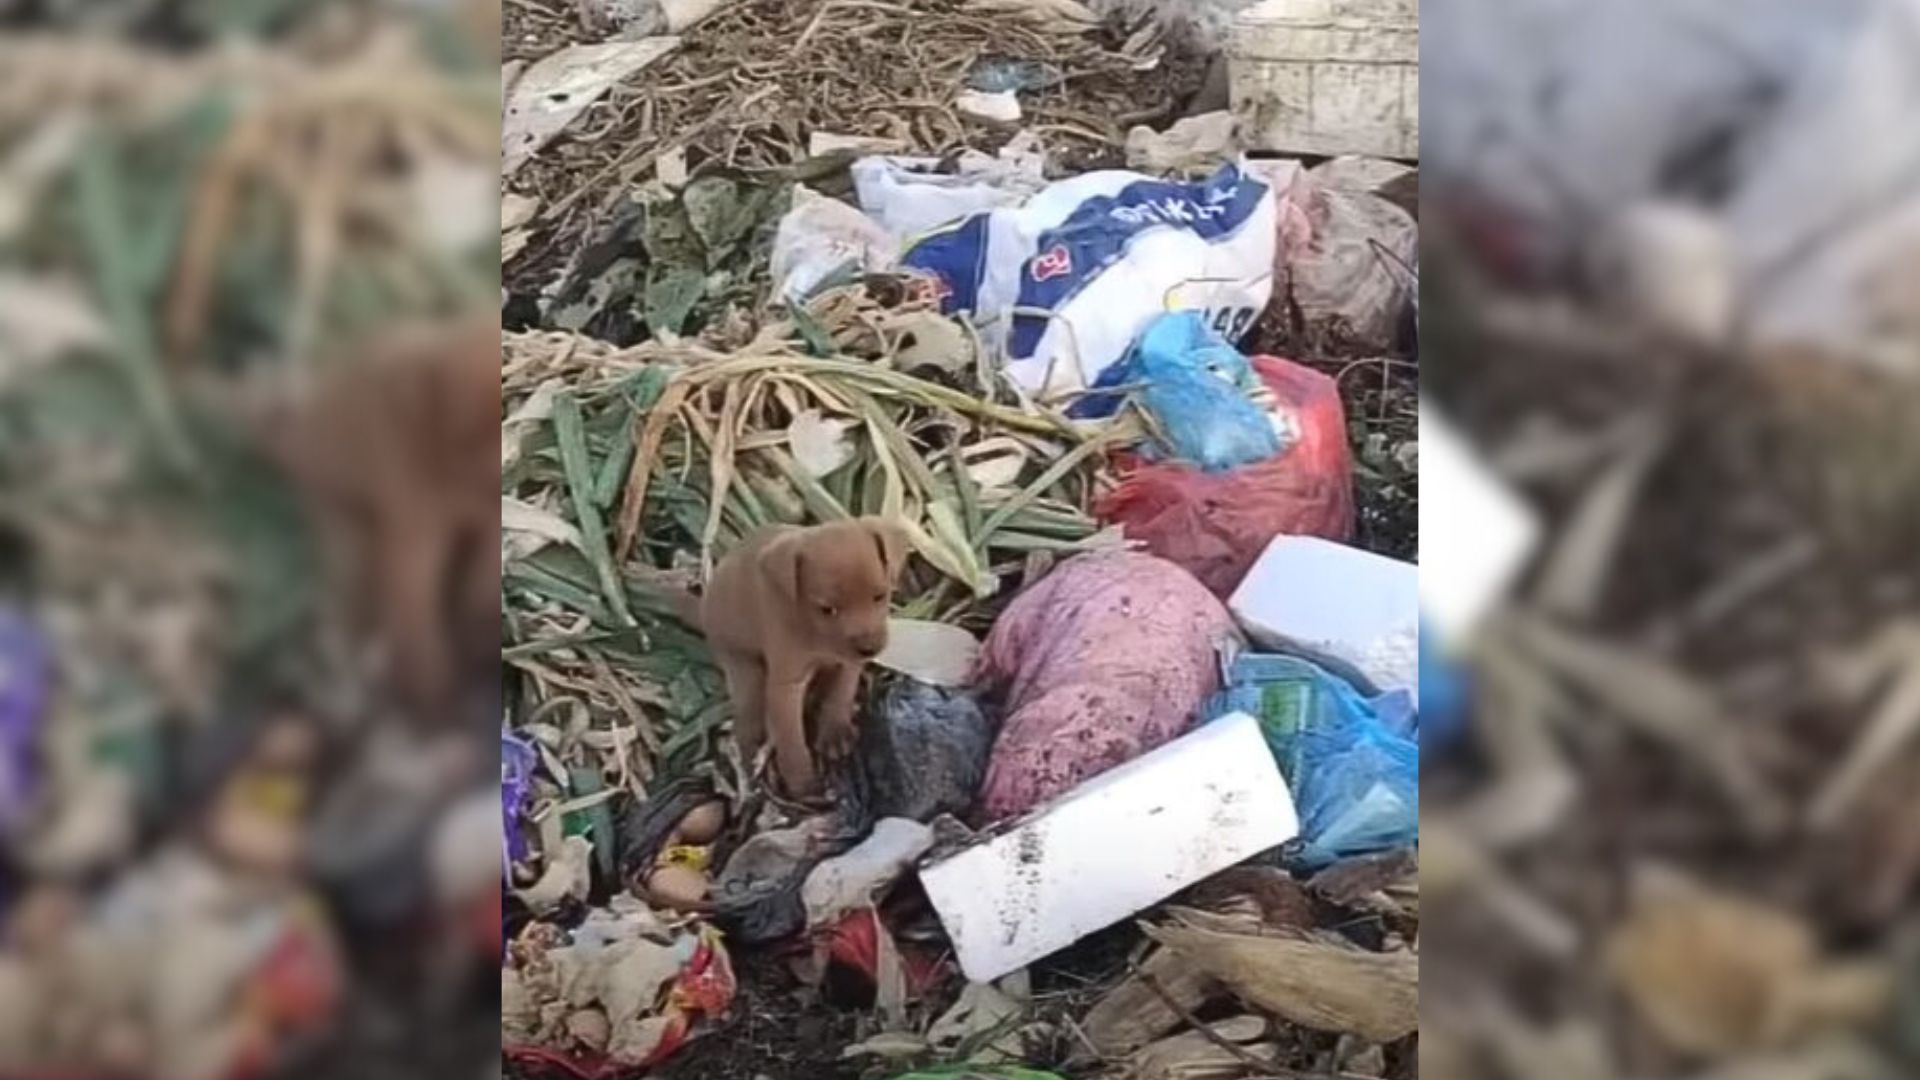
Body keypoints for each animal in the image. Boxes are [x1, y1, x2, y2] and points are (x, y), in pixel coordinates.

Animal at [702, 518, 910, 795]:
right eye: (827, 609)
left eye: (880, 595)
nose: (869, 649)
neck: (816, 632)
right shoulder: (786, 685)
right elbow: (791, 739)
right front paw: (802, 783)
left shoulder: (848, 663)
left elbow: (840, 695)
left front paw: (835, 733)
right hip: (744, 670)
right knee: (745, 724)